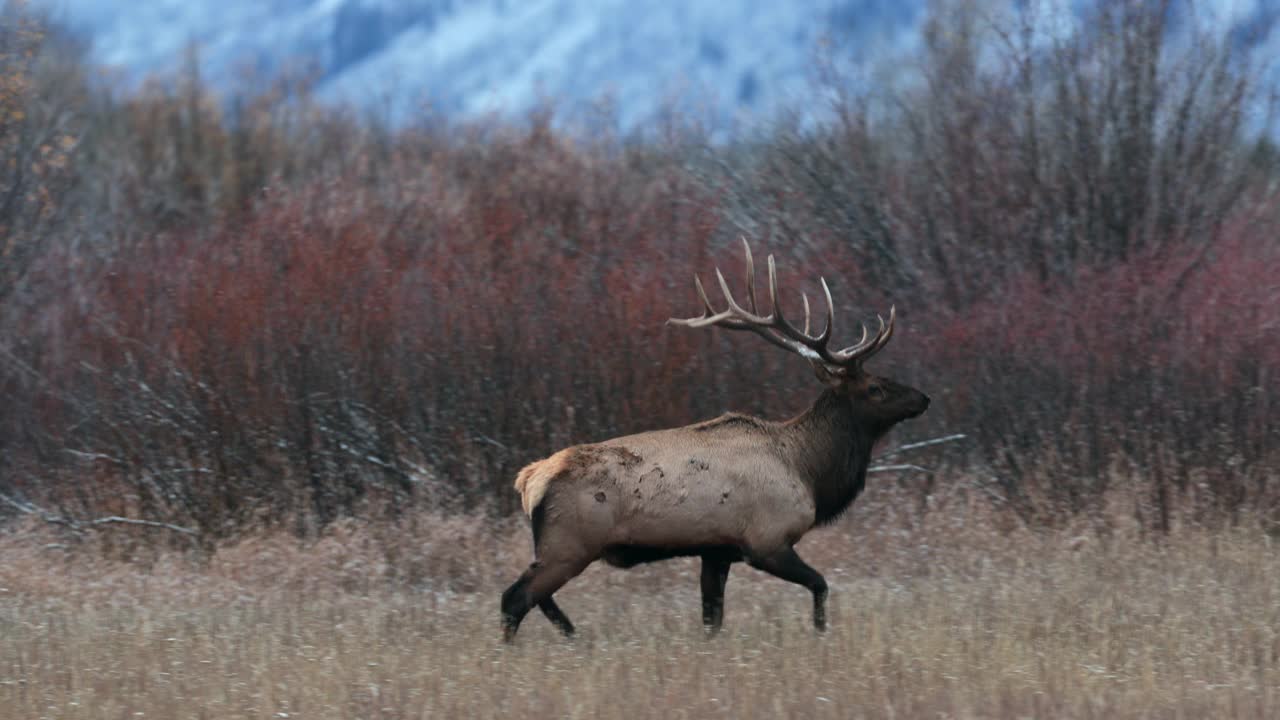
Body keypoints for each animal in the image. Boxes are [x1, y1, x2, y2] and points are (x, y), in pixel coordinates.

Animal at [499, 240, 931, 638]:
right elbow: (820, 584)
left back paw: (575, 637)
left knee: (540, 599)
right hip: (569, 543)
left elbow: (712, 617)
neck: (808, 471)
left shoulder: (716, 550)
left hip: (559, 546)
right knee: (515, 598)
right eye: (875, 388)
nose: (924, 398)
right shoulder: (767, 540)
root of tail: (530, 479)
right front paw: (821, 635)